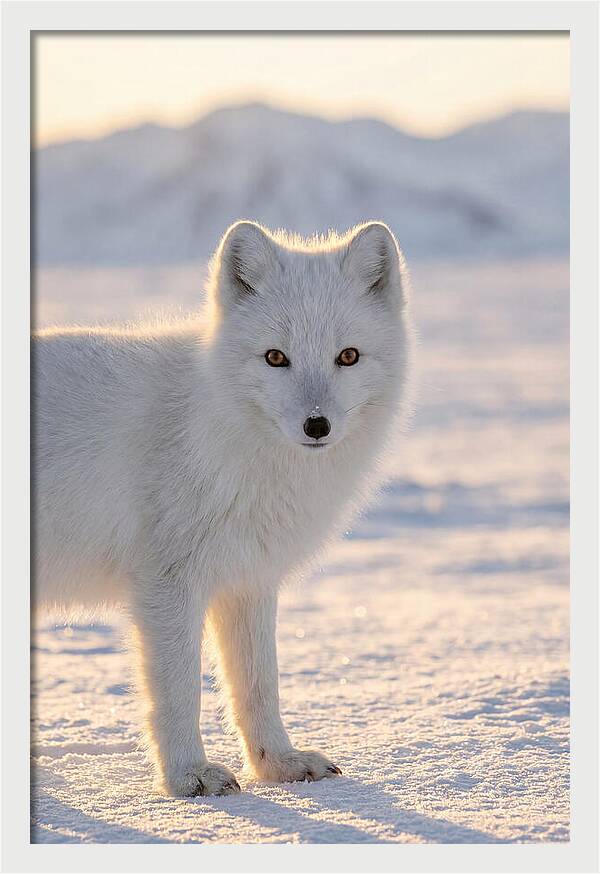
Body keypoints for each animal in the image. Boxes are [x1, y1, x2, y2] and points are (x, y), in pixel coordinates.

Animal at [32, 220, 414, 797]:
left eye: (347, 356)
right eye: (275, 357)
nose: (317, 425)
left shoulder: (248, 579)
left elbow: (259, 685)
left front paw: (278, 765)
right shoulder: (167, 584)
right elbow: (178, 690)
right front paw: (188, 777)